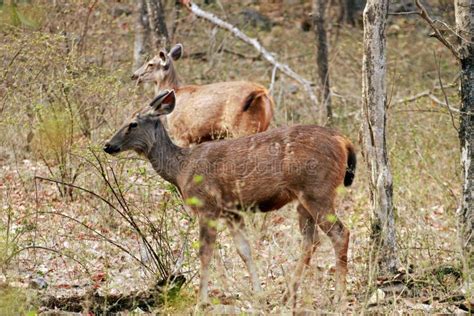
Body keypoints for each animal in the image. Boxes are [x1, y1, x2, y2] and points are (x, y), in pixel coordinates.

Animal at [103, 90, 356, 308]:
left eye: (133, 123)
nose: (107, 145)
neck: (180, 170)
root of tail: (343, 141)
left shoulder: (207, 205)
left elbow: (205, 253)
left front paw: (201, 302)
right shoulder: (231, 211)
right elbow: (244, 250)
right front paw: (259, 295)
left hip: (317, 191)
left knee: (340, 233)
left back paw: (338, 297)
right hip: (304, 200)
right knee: (310, 241)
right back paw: (288, 295)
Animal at [132, 43, 274, 147]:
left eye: (150, 64)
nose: (134, 75)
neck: (175, 92)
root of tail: (262, 91)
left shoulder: (181, 134)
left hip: (244, 127)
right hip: (262, 126)